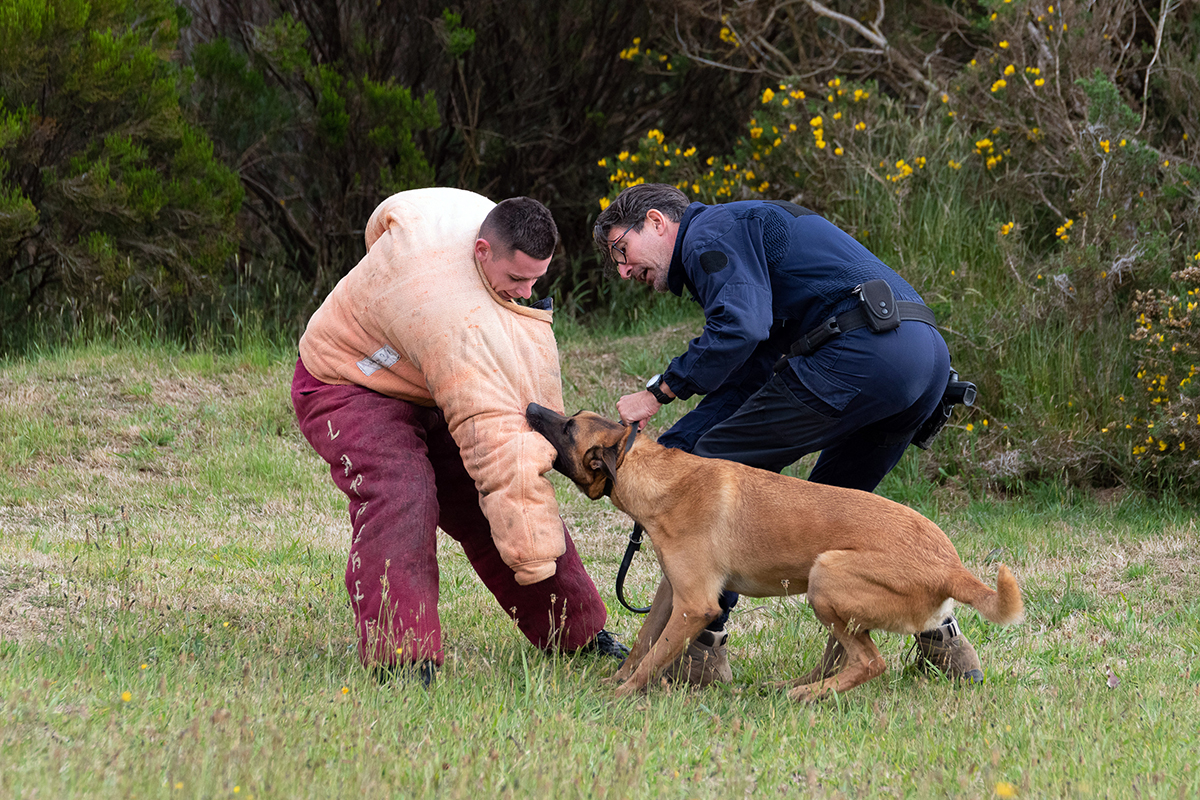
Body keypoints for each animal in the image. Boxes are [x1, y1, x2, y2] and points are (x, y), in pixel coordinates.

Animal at [528, 407, 1022, 700]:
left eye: (568, 426)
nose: (533, 408)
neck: (657, 477)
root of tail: (951, 566)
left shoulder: (694, 606)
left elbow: (651, 659)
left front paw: (620, 695)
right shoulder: (672, 595)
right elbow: (642, 646)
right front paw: (615, 681)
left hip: (826, 577)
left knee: (870, 661)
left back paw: (809, 696)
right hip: (839, 603)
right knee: (846, 656)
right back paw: (798, 686)